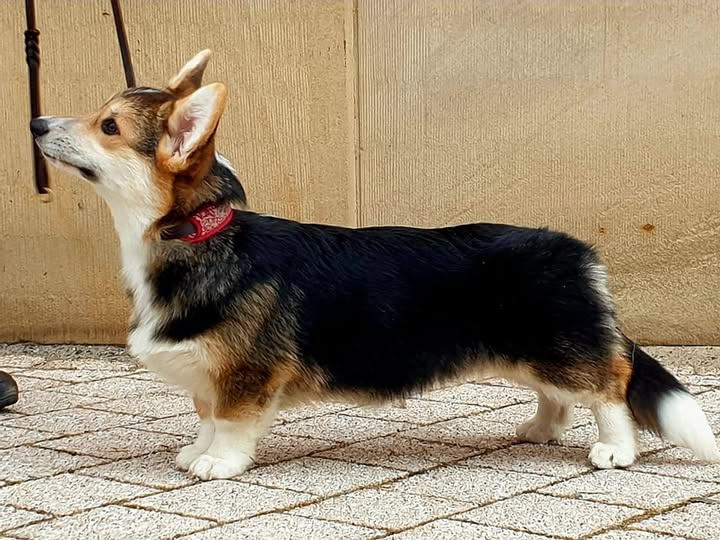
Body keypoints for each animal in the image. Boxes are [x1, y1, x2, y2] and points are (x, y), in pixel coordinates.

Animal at [30, 50, 719, 480]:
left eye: (108, 125)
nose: (35, 121)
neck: (197, 236)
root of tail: (579, 253)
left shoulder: (245, 375)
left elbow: (229, 423)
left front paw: (216, 463)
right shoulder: (209, 373)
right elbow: (204, 416)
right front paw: (193, 451)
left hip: (560, 345)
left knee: (610, 386)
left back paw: (615, 450)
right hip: (531, 351)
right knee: (562, 394)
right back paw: (538, 430)